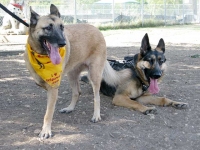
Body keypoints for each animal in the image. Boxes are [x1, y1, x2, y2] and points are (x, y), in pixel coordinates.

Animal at [24, 4, 107, 138]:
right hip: (72, 75)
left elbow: (48, 113)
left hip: (94, 75)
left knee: (96, 97)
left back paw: (96, 115)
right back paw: (70, 108)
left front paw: (46, 131)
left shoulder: (53, 89)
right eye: (48, 28)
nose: (63, 43)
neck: (41, 56)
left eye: (62, 27)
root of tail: (96, 29)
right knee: (77, 92)